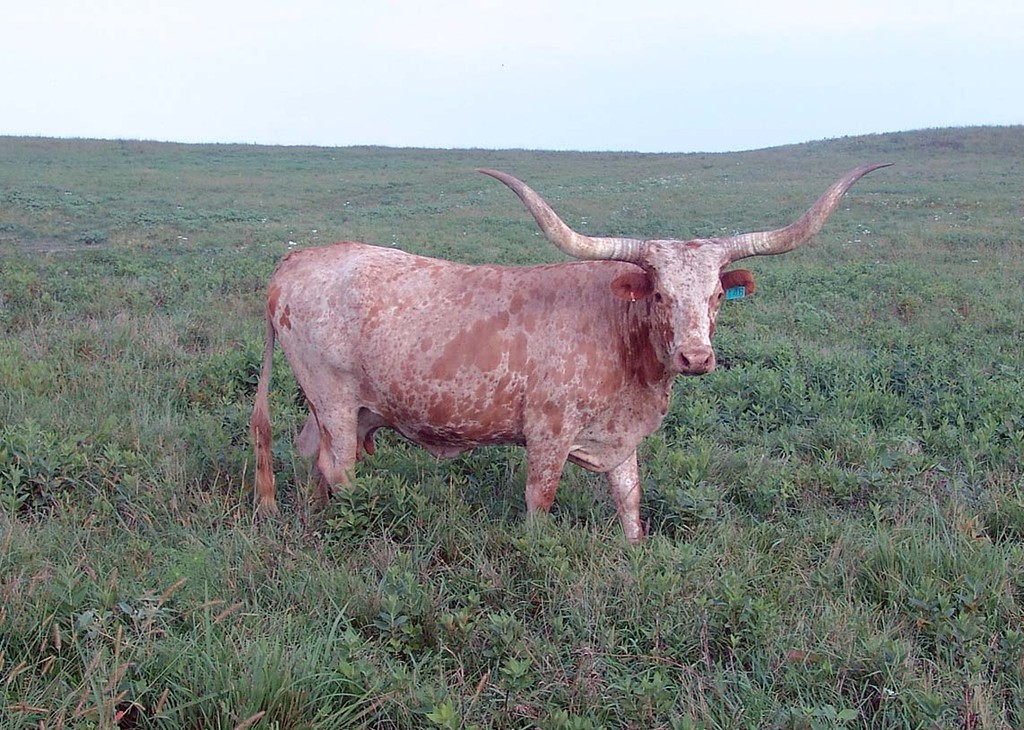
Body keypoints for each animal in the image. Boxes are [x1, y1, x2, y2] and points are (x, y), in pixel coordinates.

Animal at [251, 164, 889, 542]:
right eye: (660, 293)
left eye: (715, 295)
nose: (695, 358)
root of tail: (296, 260)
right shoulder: (548, 434)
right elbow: (542, 499)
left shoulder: (621, 437)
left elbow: (630, 498)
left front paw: (635, 554)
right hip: (334, 400)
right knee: (338, 468)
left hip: (343, 409)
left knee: (309, 456)